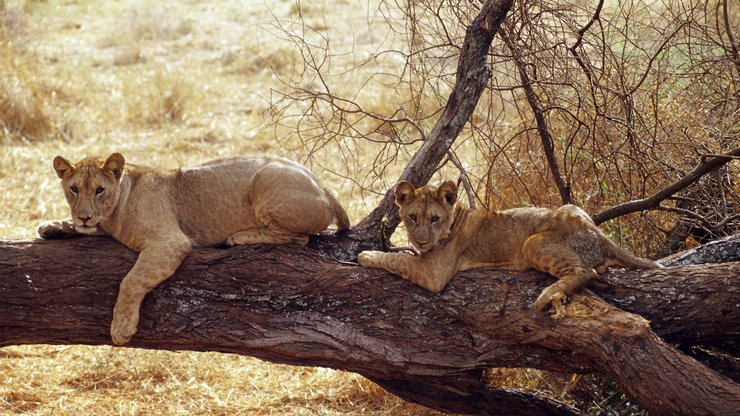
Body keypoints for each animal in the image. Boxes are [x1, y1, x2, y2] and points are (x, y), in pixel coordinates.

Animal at [39, 154, 352, 344]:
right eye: (74, 189)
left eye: (99, 190)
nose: (84, 216)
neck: (114, 210)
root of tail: (326, 188)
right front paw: (53, 226)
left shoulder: (170, 242)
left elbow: (130, 281)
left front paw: (121, 329)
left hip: (266, 179)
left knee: (300, 239)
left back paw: (239, 237)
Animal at [356, 180, 660, 314]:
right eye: (412, 217)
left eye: (434, 219)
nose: (420, 240)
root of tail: (596, 233)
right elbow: (403, 256)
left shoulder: (434, 274)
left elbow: (396, 260)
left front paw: (366, 254)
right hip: (570, 207)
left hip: (532, 243)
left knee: (587, 272)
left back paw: (546, 296)